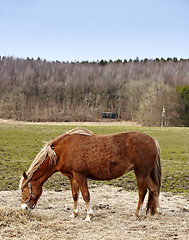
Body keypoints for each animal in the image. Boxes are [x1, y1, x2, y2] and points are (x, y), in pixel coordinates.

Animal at [19, 128, 162, 220]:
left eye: (23, 189)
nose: (24, 208)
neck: (63, 151)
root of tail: (153, 141)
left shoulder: (80, 176)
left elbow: (86, 195)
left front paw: (89, 216)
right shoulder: (72, 177)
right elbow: (75, 195)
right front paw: (74, 213)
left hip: (141, 173)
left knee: (142, 192)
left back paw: (136, 214)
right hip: (145, 174)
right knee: (154, 189)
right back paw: (158, 212)